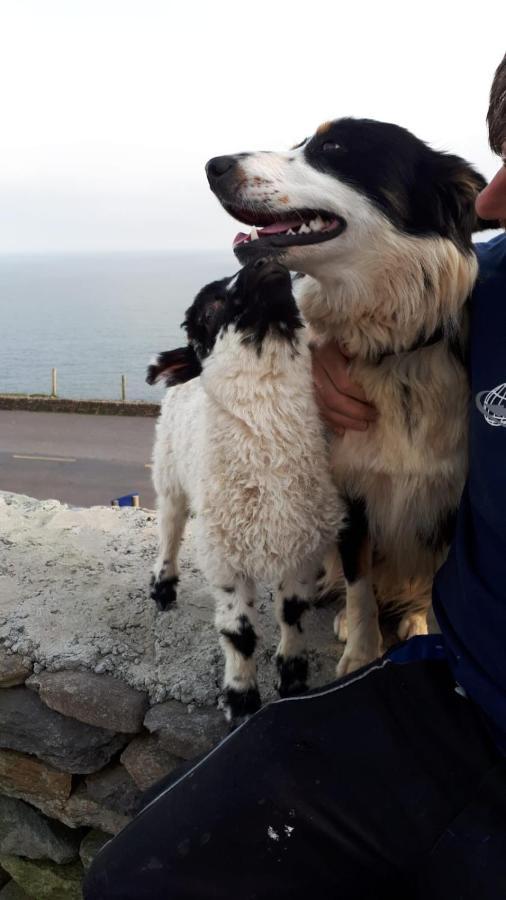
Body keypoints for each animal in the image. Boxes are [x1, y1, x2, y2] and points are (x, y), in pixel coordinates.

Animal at [206, 116, 498, 672]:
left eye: (334, 147)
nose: (214, 165)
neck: (393, 349)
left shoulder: (456, 505)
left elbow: (442, 588)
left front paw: (428, 634)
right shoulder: (350, 492)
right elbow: (360, 583)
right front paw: (362, 652)